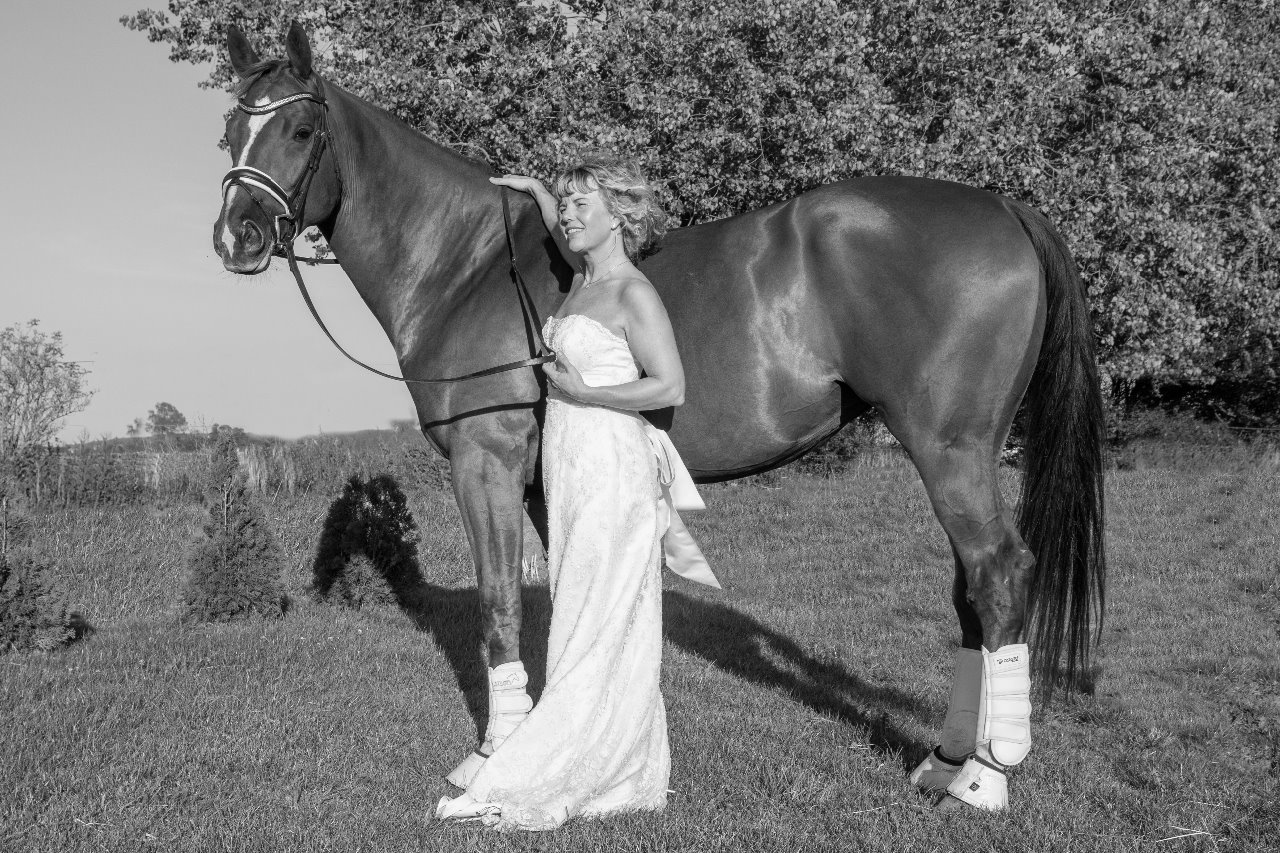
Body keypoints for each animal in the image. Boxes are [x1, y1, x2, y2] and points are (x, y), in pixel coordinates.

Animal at [213, 23, 1105, 812]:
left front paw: (494, 758)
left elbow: (499, 603)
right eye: (230, 131)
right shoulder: (539, 482)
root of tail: (1002, 207)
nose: (237, 237)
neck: (468, 264)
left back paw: (986, 777)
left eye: (300, 128)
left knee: (999, 573)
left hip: (950, 448)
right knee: (970, 591)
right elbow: (560, 600)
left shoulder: (486, 462)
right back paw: (944, 759)